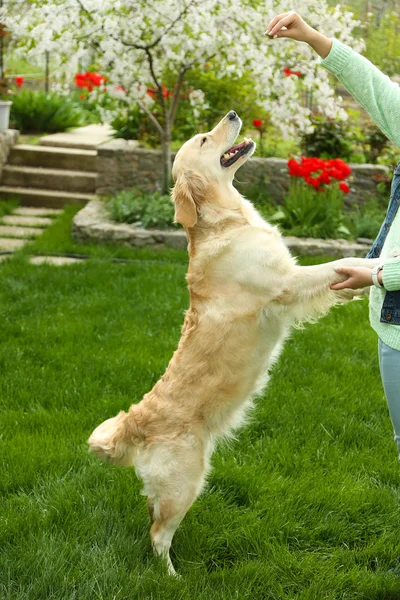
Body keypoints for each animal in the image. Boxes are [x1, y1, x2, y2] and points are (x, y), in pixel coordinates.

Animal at [88, 110, 382, 576]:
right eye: (204, 140)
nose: (232, 113)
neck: (226, 218)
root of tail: (134, 421)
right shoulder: (286, 281)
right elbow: (341, 263)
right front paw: (380, 264)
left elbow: (342, 271)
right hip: (185, 480)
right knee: (158, 536)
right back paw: (172, 578)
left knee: (151, 520)